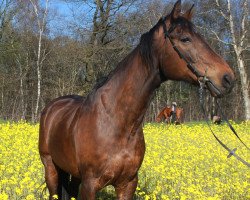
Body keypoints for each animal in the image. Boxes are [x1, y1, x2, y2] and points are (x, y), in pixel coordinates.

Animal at [38, 0, 234, 199]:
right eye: (185, 38)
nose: (228, 78)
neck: (117, 122)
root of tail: (52, 107)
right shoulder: (89, 185)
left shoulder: (128, 183)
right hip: (51, 168)